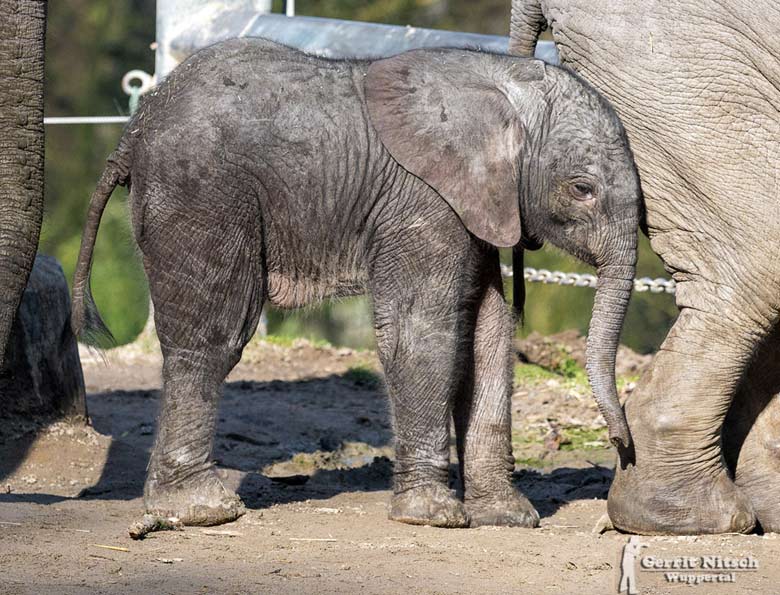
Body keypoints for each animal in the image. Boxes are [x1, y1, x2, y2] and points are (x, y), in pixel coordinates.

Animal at [71, 38, 640, 532]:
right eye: (582, 189)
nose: (623, 446)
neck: (500, 80)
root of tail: (134, 130)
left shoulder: (478, 205)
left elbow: (489, 333)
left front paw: (508, 518)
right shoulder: (421, 201)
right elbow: (422, 329)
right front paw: (434, 516)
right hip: (201, 191)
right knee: (214, 336)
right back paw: (202, 511)